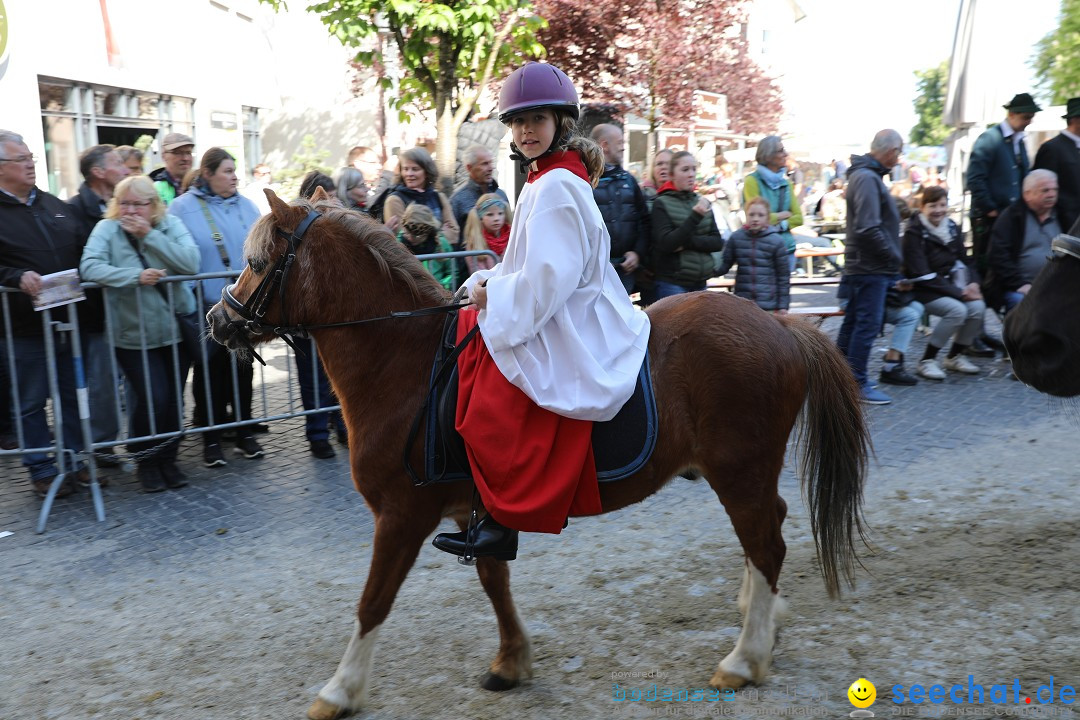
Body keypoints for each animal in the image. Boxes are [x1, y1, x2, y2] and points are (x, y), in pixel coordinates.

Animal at [208, 189, 868, 720]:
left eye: (257, 262)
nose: (217, 320)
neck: (406, 363)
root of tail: (781, 324)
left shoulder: (401, 517)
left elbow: (373, 602)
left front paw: (340, 690)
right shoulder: (472, 511)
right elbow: (494, 581)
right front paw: (511, 661)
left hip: (739, 470)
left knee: (767, 543)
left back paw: (745, 658)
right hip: (740, 473)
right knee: (766, 533)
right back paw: (763, 613)